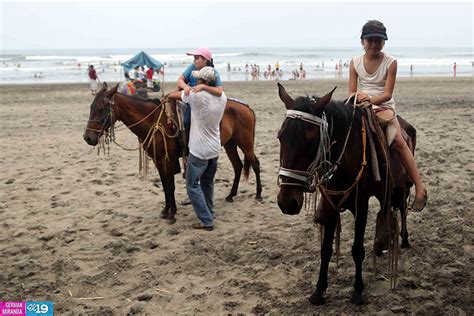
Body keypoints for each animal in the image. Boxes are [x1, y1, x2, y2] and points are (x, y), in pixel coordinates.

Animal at [83, 82, 262, 223]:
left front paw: (172, 213)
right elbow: (165, 185)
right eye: (91, 107)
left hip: (245, 143)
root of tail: (246, 107)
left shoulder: (167, 160)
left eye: (101, 109)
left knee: (255, 163)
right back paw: (231, 195)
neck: (153, 121)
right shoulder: (158, 160)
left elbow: (170, 186)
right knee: (238, 166)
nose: (88, 137)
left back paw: (258, 195)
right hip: (230, 144)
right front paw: (166, 209)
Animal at [276, 83, 416, 304]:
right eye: (280, 137)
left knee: (401, 209)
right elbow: (325, 249)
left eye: (312, 141)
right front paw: (319, 290)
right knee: (386, 210)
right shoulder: (330, 203)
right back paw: (383, 244)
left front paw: (358, 291)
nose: (287, 202)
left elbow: (357, 250)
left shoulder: (361, 205)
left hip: (401, 187)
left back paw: (403, 239)